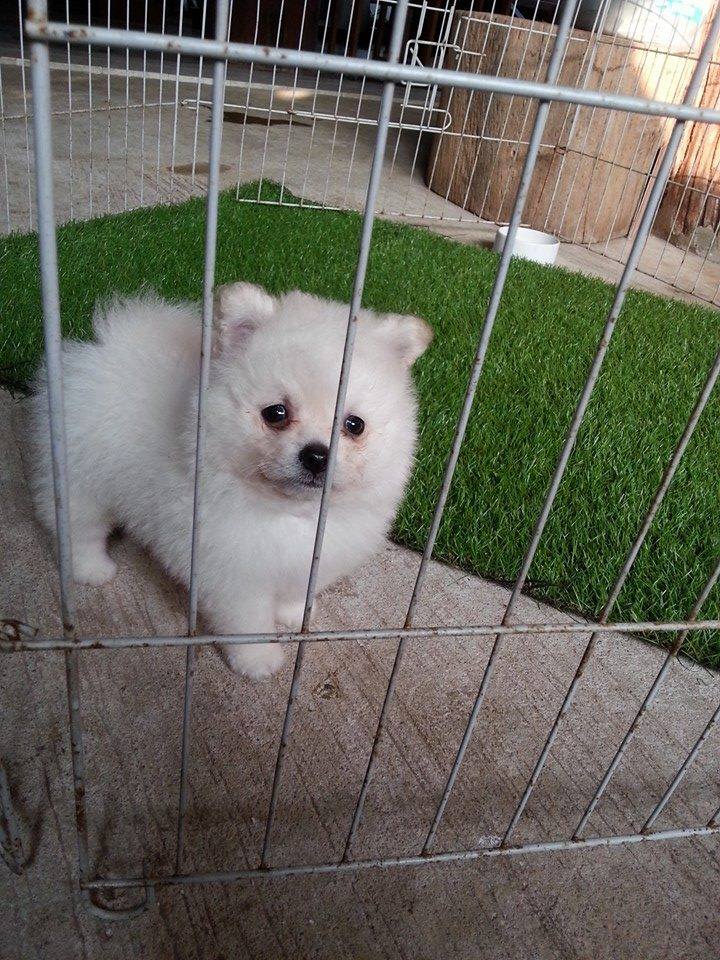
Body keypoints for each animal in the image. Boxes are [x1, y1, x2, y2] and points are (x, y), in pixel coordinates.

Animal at [27, 283, 433, 678]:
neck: (292, 514)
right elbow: (248, 623)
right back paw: (91, 569)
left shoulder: (311, 559)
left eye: (354, 425)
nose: (317, 455)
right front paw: (258, 661)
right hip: (82, 480)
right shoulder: (232, 577)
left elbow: (294, 589)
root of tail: (108, 347)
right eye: (276, 413)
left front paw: (291, 614)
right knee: (77, 528)